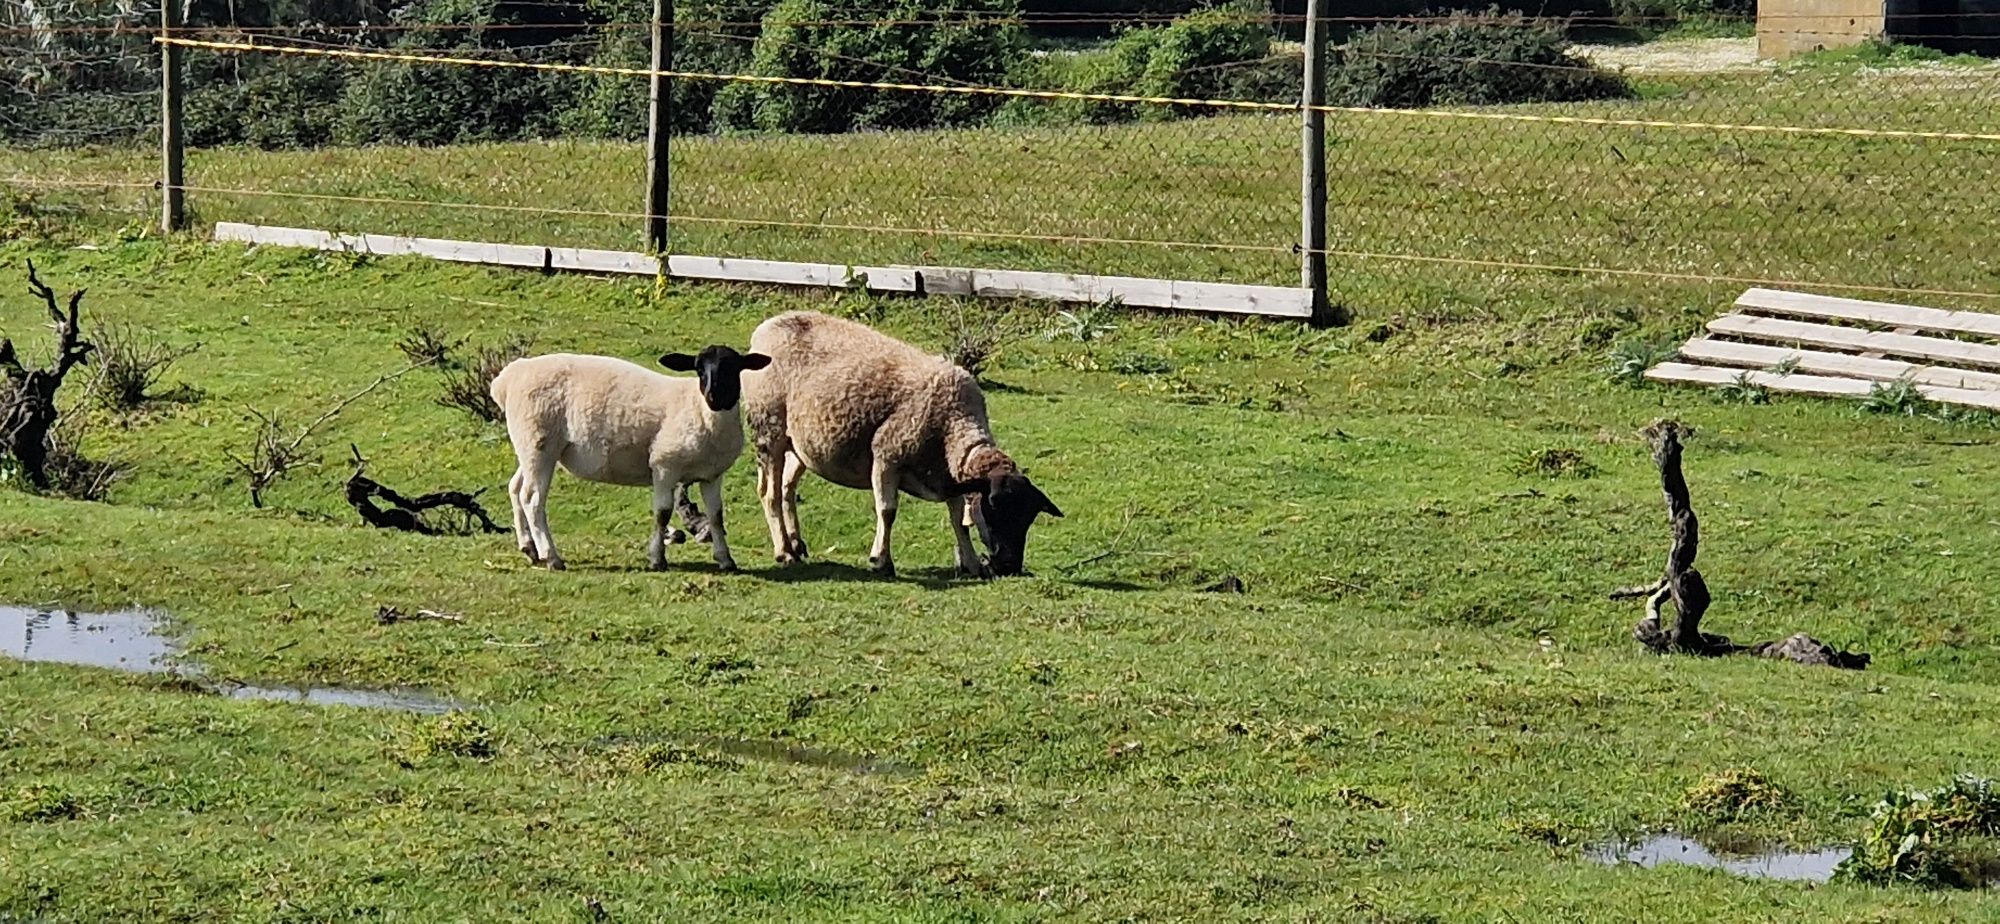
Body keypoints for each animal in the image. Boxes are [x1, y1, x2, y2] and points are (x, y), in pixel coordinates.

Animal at [488, 346, 768, 572]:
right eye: (699, 369)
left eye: (734, 367)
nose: (713, 397)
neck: (699, 410)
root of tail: (508, 377)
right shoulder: (664, 466)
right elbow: (663, 513)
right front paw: (657, 559)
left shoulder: (712, 475)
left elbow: (716, 516)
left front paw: (725, 559)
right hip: (539, 442)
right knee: (532, 499)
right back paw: (551, 557)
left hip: (529, 446)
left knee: (515, 488)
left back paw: (529, 548)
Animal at [744, 310, 1064, 576]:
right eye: (995, 506)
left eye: (1029, 517)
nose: (1010, 566)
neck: (952, 422)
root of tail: (767, 327)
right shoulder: (886, 457)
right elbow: (887, 511)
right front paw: (881, 561)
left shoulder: (948, 478)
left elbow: (958, 519)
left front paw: (971, 563)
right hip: (768, 428)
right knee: (769, 492)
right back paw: (784, 551)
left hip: (801, 442)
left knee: (787, 487)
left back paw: (796, 544)